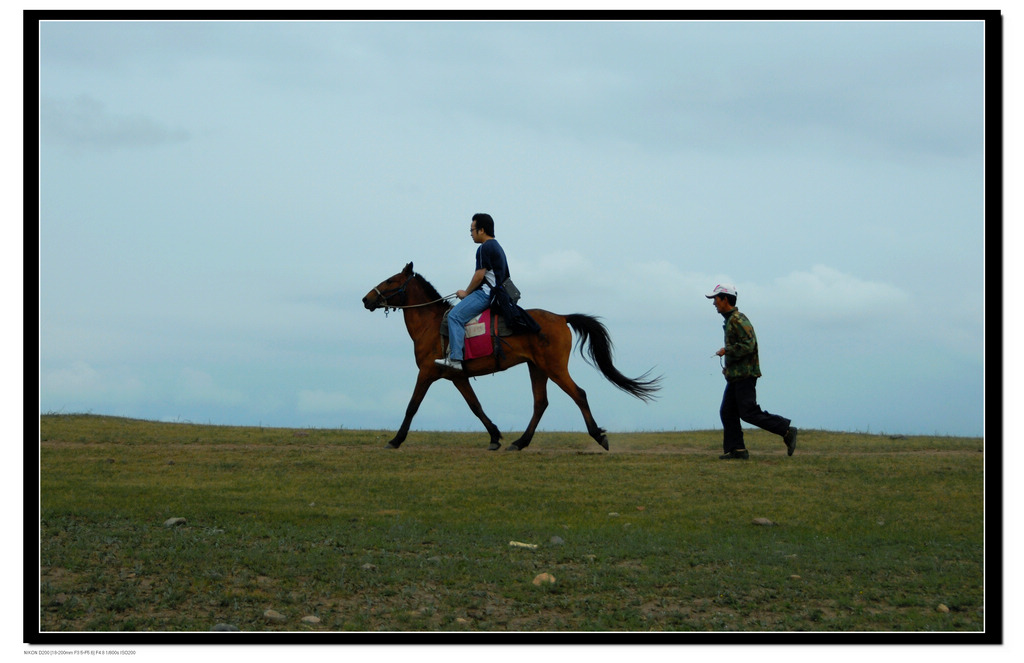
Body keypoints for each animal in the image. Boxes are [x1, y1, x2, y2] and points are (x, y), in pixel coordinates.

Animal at [364, 262, 659, 450]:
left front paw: (395, 440)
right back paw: (520, 442)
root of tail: (561, 317)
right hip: (537, 368)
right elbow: (475, 406)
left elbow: (412, 406)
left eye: (390, 281)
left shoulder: (426, 372)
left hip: (554, 368)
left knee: (579, 394)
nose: (367, 299)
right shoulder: (457, 376)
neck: (432, 323)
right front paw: (495, 436)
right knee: (540, 403)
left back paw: (598, 436)